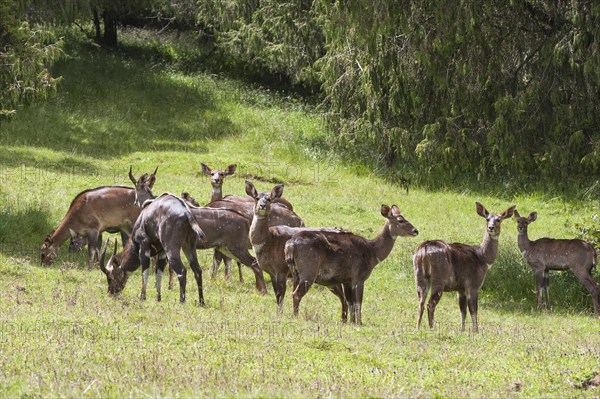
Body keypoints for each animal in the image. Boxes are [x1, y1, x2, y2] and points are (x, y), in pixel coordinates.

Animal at [284, 206, 418, 324]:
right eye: (400, 220)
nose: (415, 231)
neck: (372, 252)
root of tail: (290, 245)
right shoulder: (359, 277)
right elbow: (358, 302)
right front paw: (359, 323)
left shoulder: (347, 280)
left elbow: (350, 302)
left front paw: (351, 322)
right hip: (309, 271)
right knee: (296, 294)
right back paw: (295, 316)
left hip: (295, 273)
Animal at [412, 202, 516, 332]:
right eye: (487, 219)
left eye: (498, 219)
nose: (491, 227)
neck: (482, 257)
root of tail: (423, 249)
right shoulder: (472, 285)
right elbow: (473, 309)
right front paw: (476, 331)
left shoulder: (460, 288)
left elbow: (463, 311)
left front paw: (462, 330)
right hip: (438, 280)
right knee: (430, 304)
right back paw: (432, 328)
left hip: (419, 277)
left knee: (420, 302)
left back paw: (417, 327)